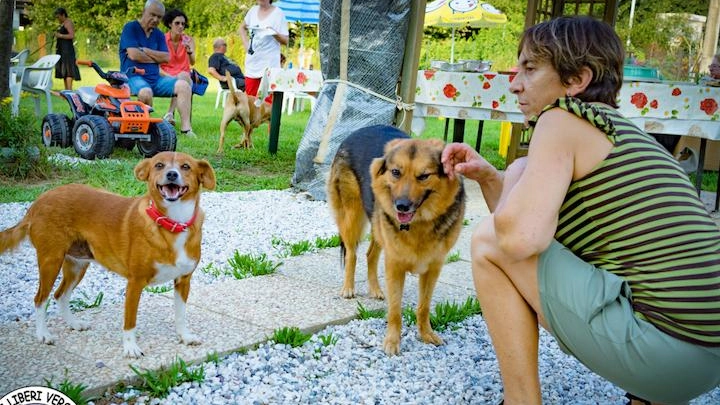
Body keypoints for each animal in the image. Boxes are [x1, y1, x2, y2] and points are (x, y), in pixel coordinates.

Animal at [0, 151, 217, 356]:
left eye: (186, 166)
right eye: (159, 165)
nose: (172, 174)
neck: (173, 222)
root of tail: (38, 201)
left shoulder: (183, 280)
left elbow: (181, 315)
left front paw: (185, 336)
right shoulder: (135, 283)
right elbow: (130, 321)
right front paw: (130, 348)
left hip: (77, 265)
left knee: (60, 295)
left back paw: (73, 324)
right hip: (50, 261)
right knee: (40, 299)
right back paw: (43, 334)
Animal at [328, 124, 466, 354]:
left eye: (423, 176)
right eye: (396, 172)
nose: (401, 206)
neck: (420, 222)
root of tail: (358, 130)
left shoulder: (433, 268)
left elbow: (424, 306)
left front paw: (426, 334)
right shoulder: (394, 265)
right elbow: (395, 311)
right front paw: (392, 342)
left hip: (377, 226)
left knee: (370, 254)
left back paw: (375, 289)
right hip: (351, 216)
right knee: (352, 254)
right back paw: (348, 288)